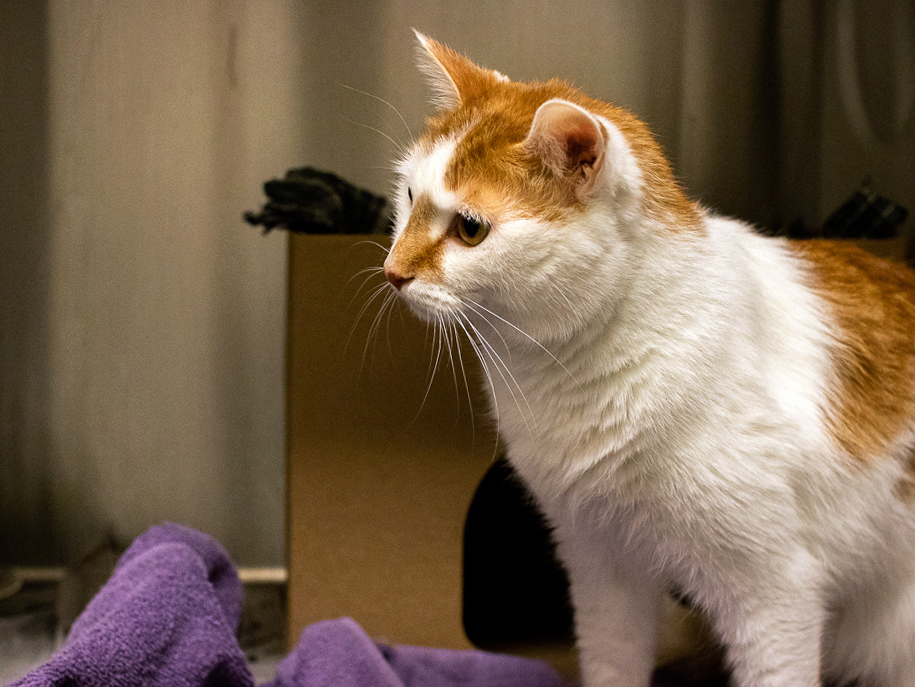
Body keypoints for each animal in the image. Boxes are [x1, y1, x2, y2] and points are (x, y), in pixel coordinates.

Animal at [382, 32, 915, 687]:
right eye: (409, 197)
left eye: (470, 229)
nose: (393, 272)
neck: (570, 374)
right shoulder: (600, 566)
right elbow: (613, 661)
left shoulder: (773, 590)